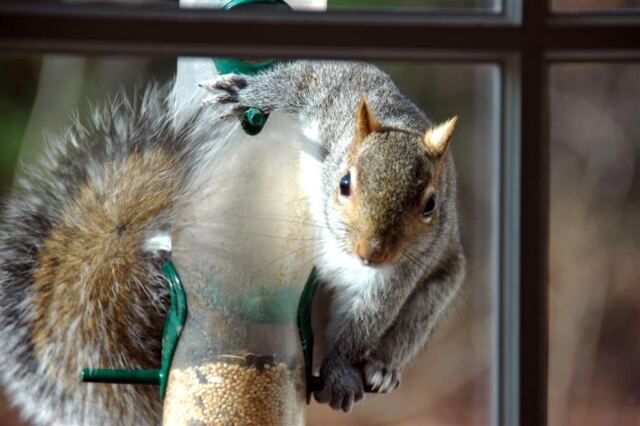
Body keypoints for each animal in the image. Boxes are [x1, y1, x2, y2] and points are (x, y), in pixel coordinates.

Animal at [0, 61, 464, 425]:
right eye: (345, 183)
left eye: (431, 204)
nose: (372, 253)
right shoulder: (330, 88)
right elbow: (294, 81)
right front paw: (244, 92)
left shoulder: (394, 277)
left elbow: (364, 323)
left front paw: (339, 371)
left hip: (438, 286)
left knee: (410, 324)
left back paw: (382, 369)